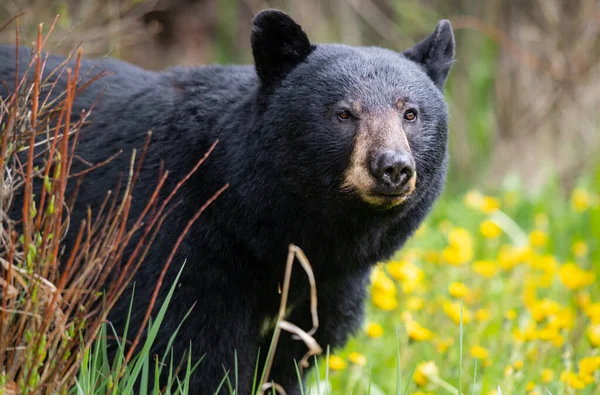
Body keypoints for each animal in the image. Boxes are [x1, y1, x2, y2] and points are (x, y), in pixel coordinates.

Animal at [0, 7, 454, 394]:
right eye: (343, 113)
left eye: (410, 113)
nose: (392, 167)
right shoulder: (177, 245)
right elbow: (194, 350)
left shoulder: (325, 290)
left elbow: (289, 359)